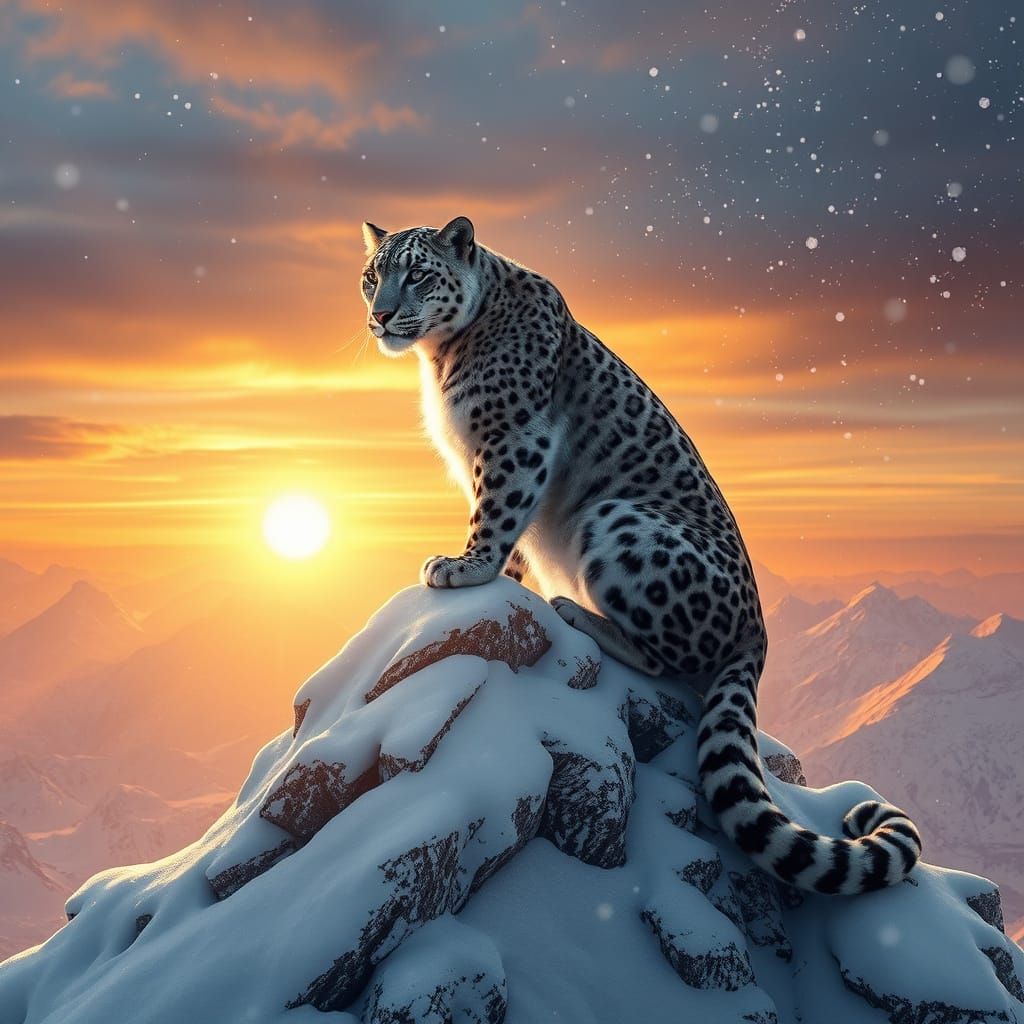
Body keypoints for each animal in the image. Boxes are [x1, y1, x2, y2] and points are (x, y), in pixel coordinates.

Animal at [358, 215, 922, 895]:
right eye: (372, 277)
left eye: (417, 273)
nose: (382, 315)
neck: (441, 353)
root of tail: (759, 632)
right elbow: (513, 536)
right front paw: (501, 576)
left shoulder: (515, 441)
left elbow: (498, 512)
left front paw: (465, 567)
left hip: (615, 522)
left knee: (664, 662)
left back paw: (573, 610)